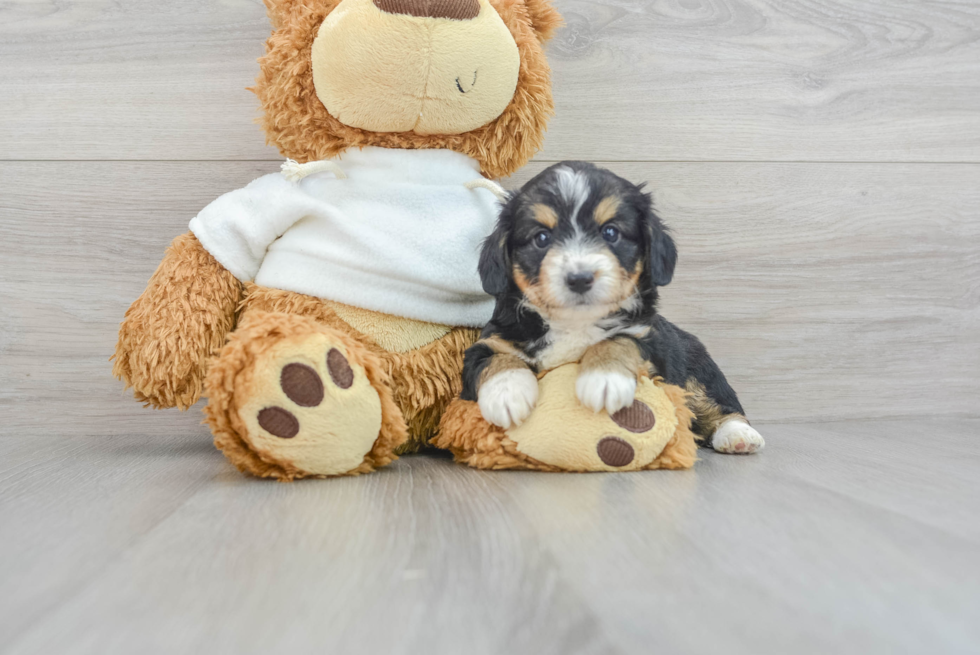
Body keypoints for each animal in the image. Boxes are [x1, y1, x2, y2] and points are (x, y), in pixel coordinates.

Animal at [460, 161, 764, 454]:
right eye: (542, 238)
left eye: (610, 232)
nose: (579, 278)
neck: (573, 323)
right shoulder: (491, 340)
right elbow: (497, 358)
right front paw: (507, 395)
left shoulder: (649, 338)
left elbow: (618, 340)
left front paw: (604, 378)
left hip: (697, 368)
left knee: (717, 403)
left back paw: (739, 435)